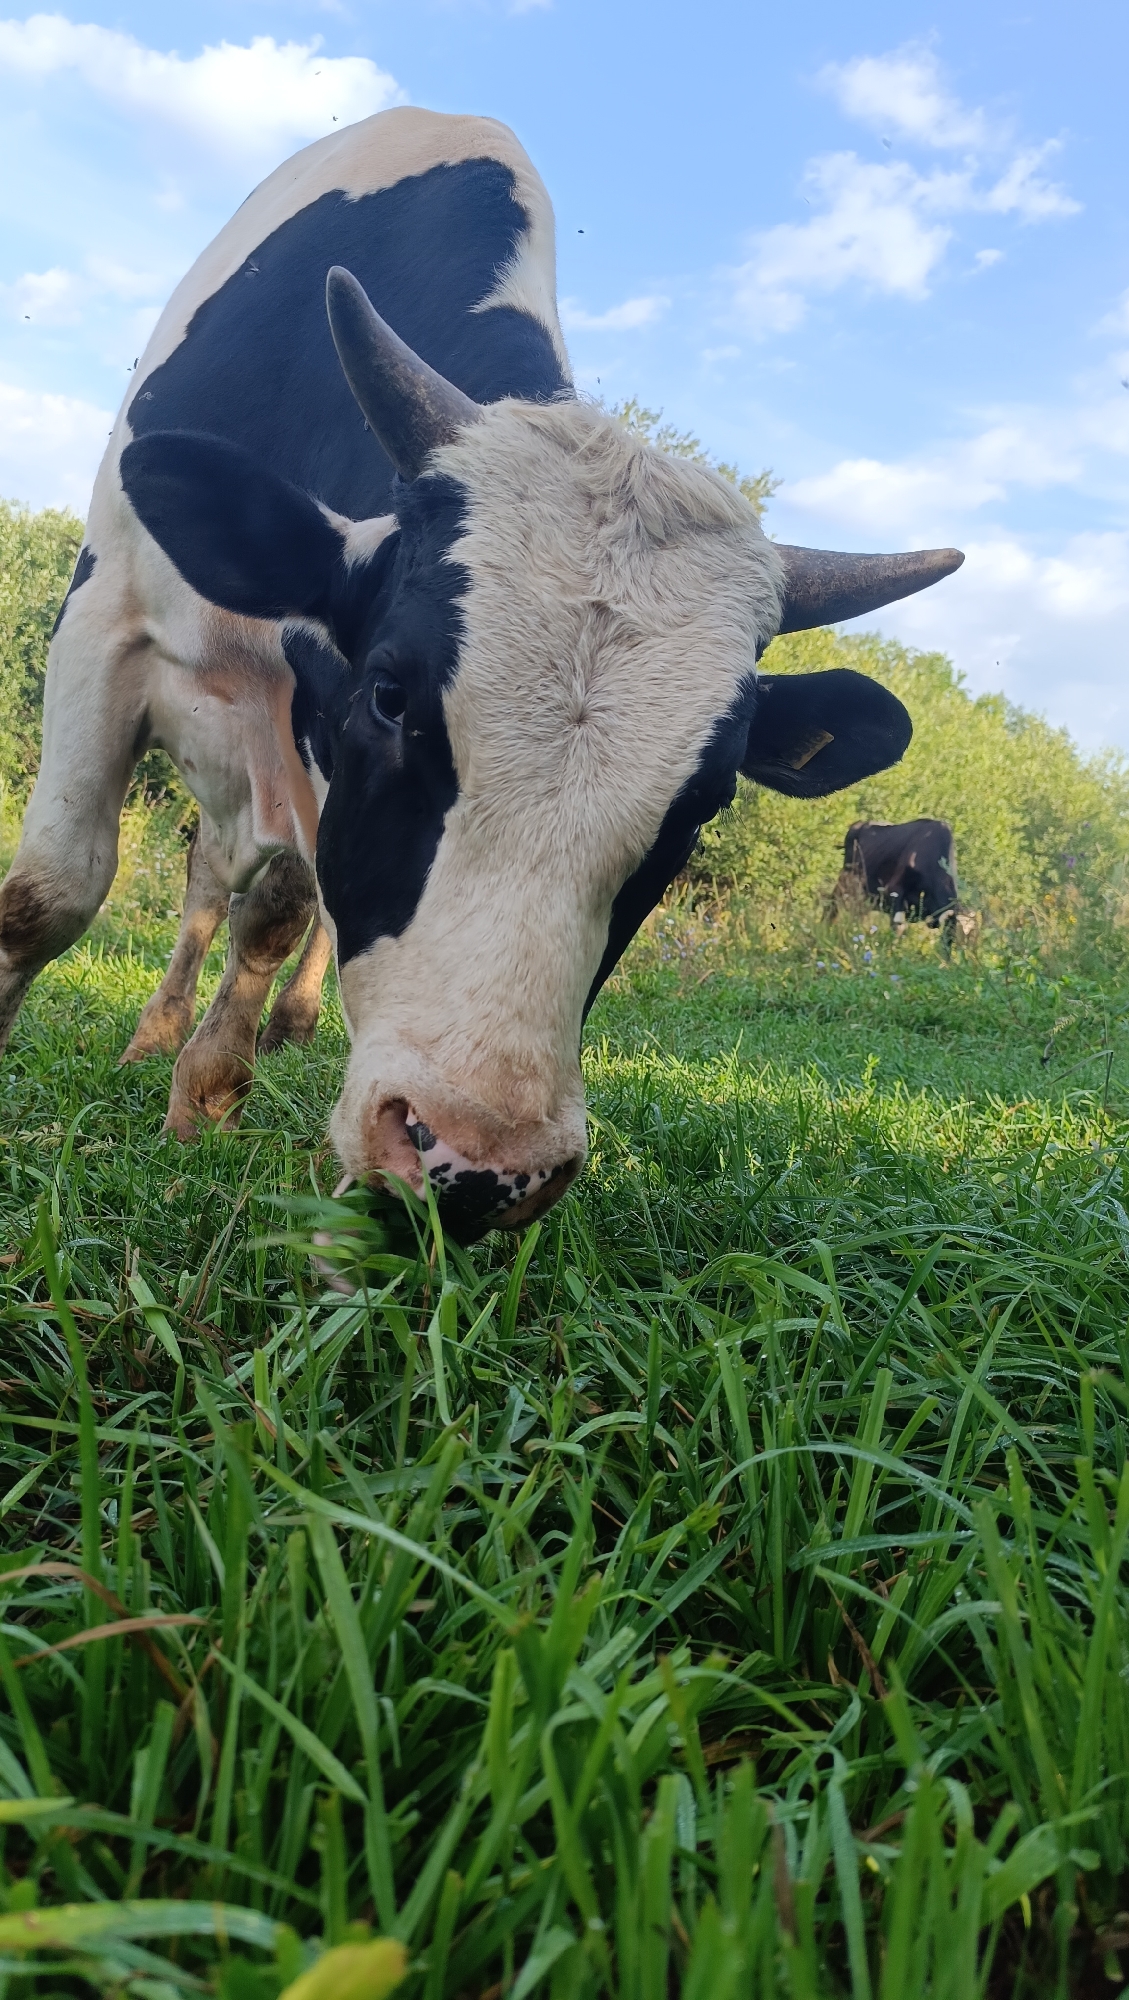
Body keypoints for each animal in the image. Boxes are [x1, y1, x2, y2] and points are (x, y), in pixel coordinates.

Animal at [0, 107, 964, 1237]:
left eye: (708, 797)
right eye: (389, 694)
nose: (475, 1164)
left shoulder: (305, 740)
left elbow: (280, 911)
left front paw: (209, 1095)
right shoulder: (105, 616)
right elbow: (52, 892)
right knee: (201, 885)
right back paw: (154, 1032)